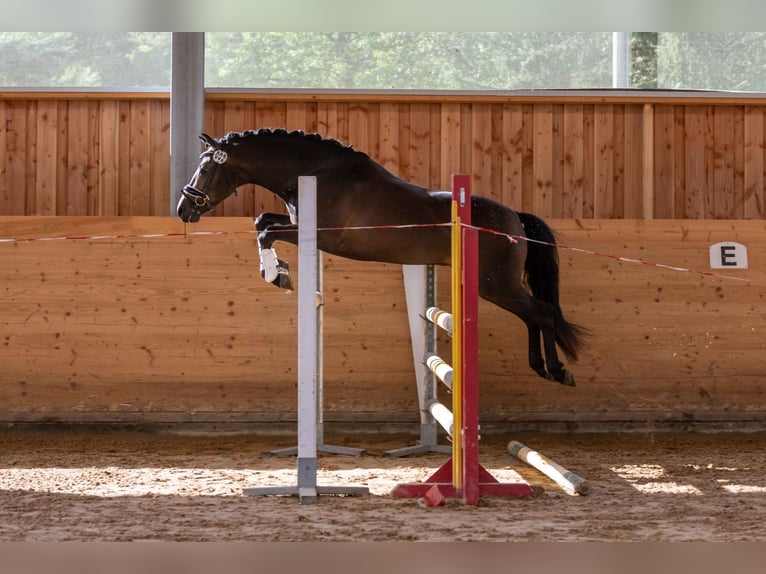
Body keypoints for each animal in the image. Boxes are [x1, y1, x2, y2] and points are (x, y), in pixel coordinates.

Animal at [178, 127, 588, 388]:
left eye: (206, 167)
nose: (184, 209)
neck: (316, 172)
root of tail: (515, 217)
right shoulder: (297, 223)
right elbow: (263, 220)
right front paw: (279, 269)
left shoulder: (319, 234)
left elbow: (265, 230)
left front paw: (275, 274)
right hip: (496, 286)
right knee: (533, 315)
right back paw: (542, 368)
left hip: (495, 285)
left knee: (542, 313)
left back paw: (558, 371)